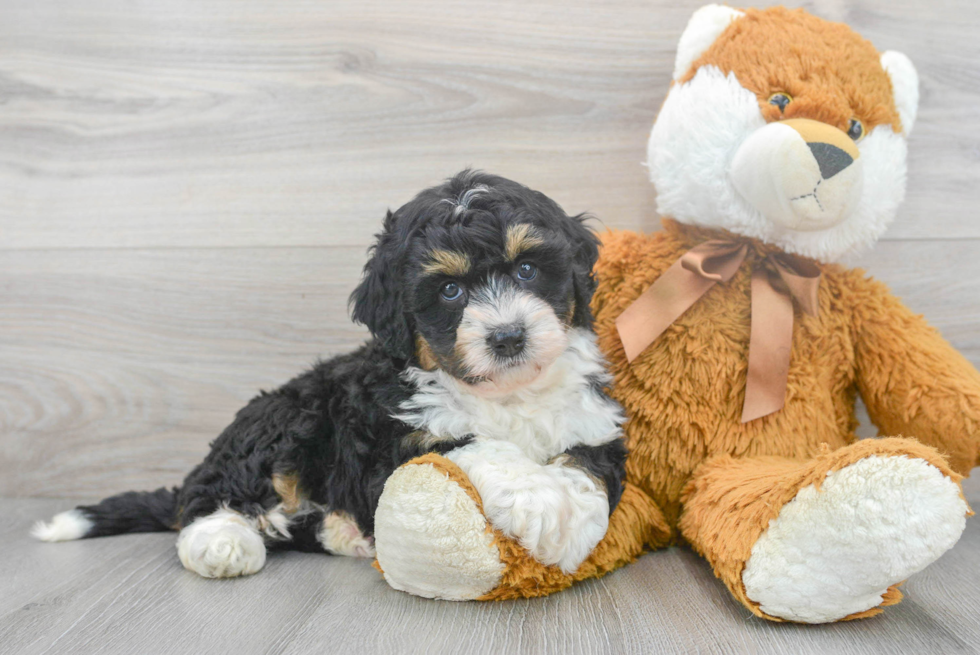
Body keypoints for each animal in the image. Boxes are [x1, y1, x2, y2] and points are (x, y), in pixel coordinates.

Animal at [34, 170, 628, 580]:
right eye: (450, 290)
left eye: (527, 268)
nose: (507, 337)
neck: (506, 395)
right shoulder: (395, 444)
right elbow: (475, 446)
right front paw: (544, 503)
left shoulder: (594, 421)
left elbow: (588, 467)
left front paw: (573, 520)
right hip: (286, 417)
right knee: (210, 494)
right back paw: (223, 543)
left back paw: (343, 533)